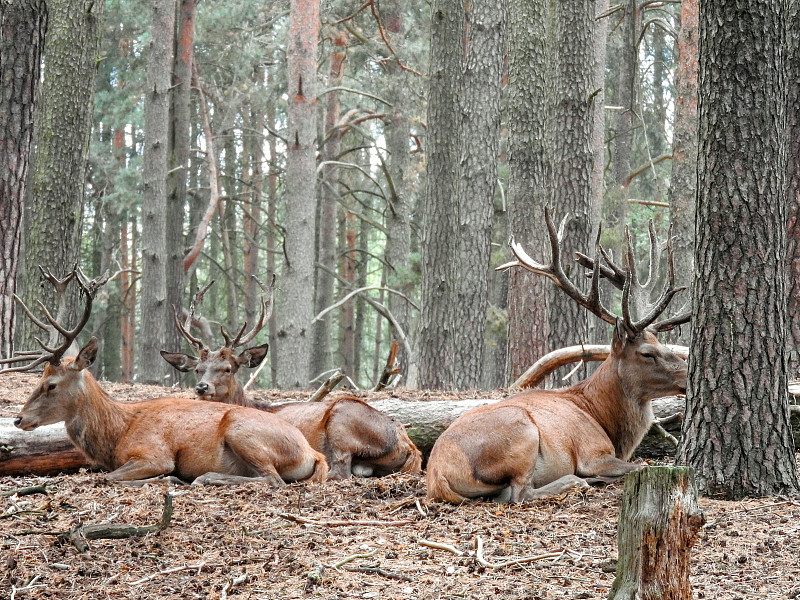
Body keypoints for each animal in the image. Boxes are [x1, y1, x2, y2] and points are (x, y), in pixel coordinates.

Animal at [7, 270, 326, 486]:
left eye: (51, 385)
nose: (19, 419)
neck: (117, 433)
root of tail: (311, 453)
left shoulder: (154, 453)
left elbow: (110, 476)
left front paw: (168, 479)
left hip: (243, 431)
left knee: (272, 479)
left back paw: (205, 477)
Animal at [162, 278, 424, 480]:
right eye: (198, 369)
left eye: (228, 369)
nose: (202, 387)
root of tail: (408, 444)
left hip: (343, 418)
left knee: (338, 470)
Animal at [422, 213, 692, 504]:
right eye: (647, 353)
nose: (687, 374)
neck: (601, 415)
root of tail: (437, 477)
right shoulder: (593, 452)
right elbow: (637, 466)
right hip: (521, 432)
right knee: (520, 493)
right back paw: (576, 481)